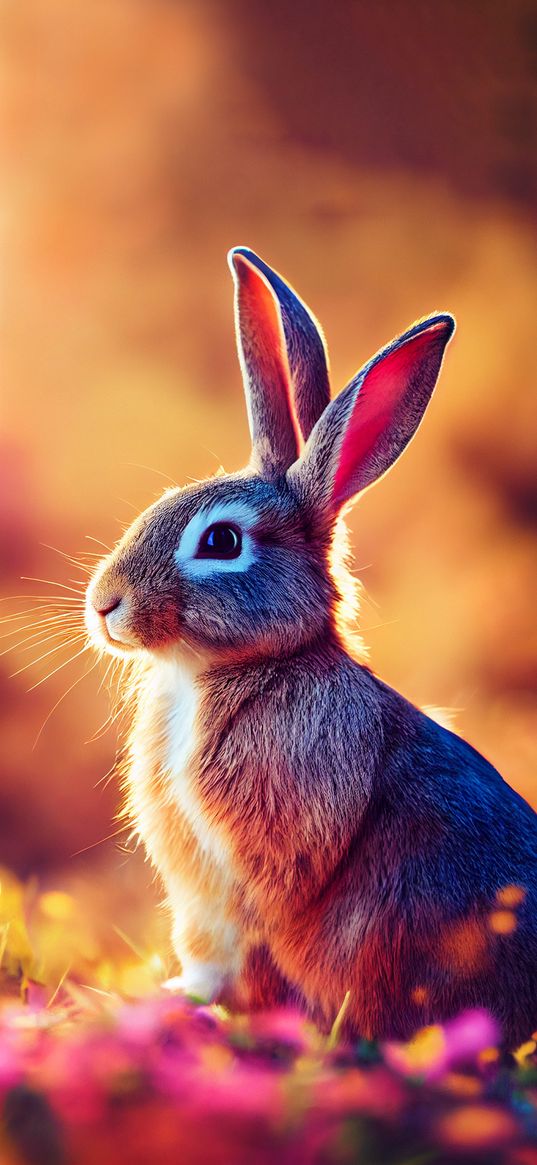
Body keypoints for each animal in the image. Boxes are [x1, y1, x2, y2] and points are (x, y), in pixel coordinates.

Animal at [85, 248, 535, 1048]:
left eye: (220, 542)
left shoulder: (253, 880)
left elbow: (244, 951)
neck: (235, 670)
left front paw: (184, 1007)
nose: (106, 604)